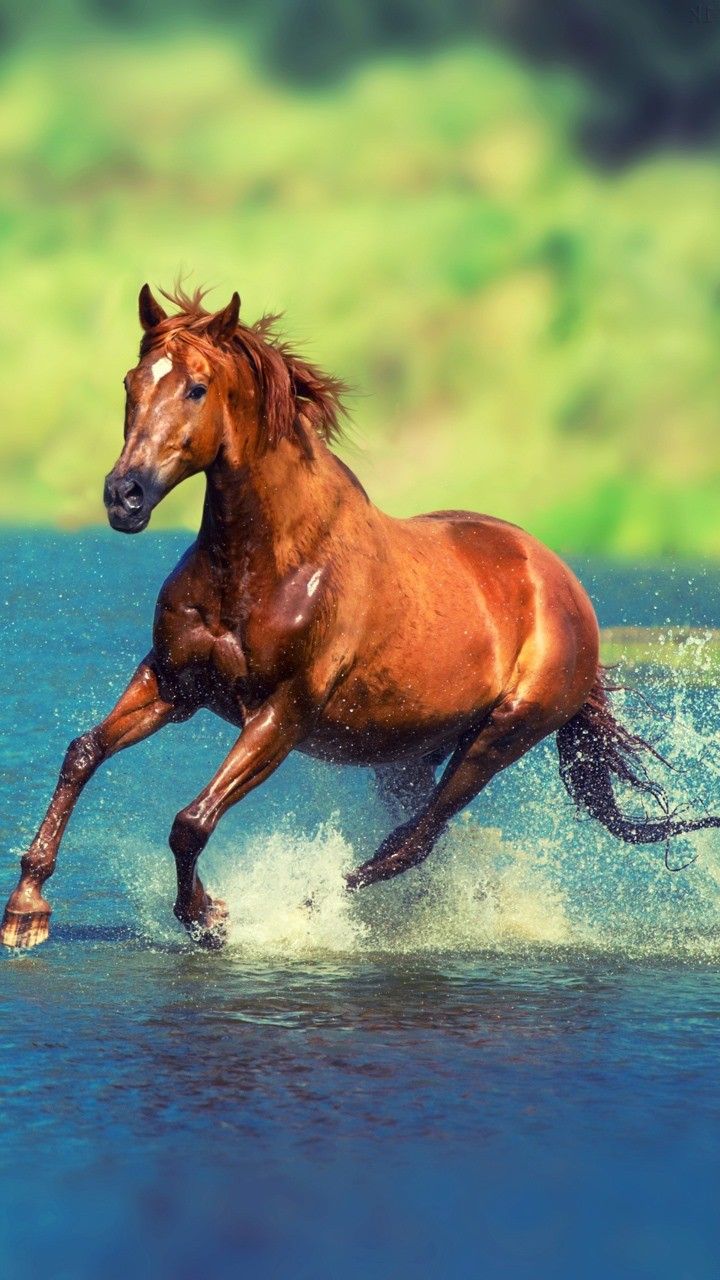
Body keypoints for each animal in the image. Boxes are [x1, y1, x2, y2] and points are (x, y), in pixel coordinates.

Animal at [3, 284, 719, 949]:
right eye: (131, 382)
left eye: (196, 389)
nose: (124, 497)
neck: (268, 564)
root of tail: (566, 590)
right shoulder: (174, 683)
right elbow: (83, 753)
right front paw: (27, 910)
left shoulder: (282, 713)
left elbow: (192, 821)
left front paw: (209, 916)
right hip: (407, 753)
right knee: (415, 840)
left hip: (502, 736)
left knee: (411, 841)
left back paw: (306, 911)